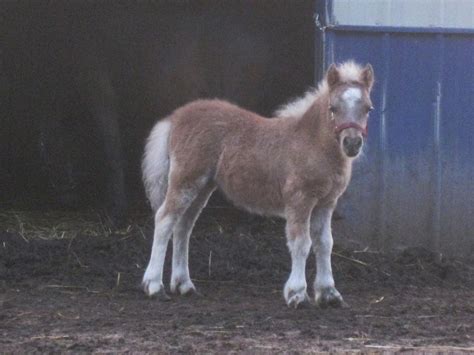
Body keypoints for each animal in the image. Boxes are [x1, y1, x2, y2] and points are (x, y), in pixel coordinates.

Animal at [141, 62, 374, 310]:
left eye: (368, 108)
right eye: (333, 108)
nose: (352, 144)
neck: (311, 143)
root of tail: (174, 118)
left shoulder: (326, 203)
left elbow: (324, 243)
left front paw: (329, 294)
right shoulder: (299, 200)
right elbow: (301, 242)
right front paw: (297, 294)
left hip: (202, 187)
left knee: (183, 227)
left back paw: (184, 284)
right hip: (186, 179)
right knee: (164, 219)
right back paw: (154, 286)